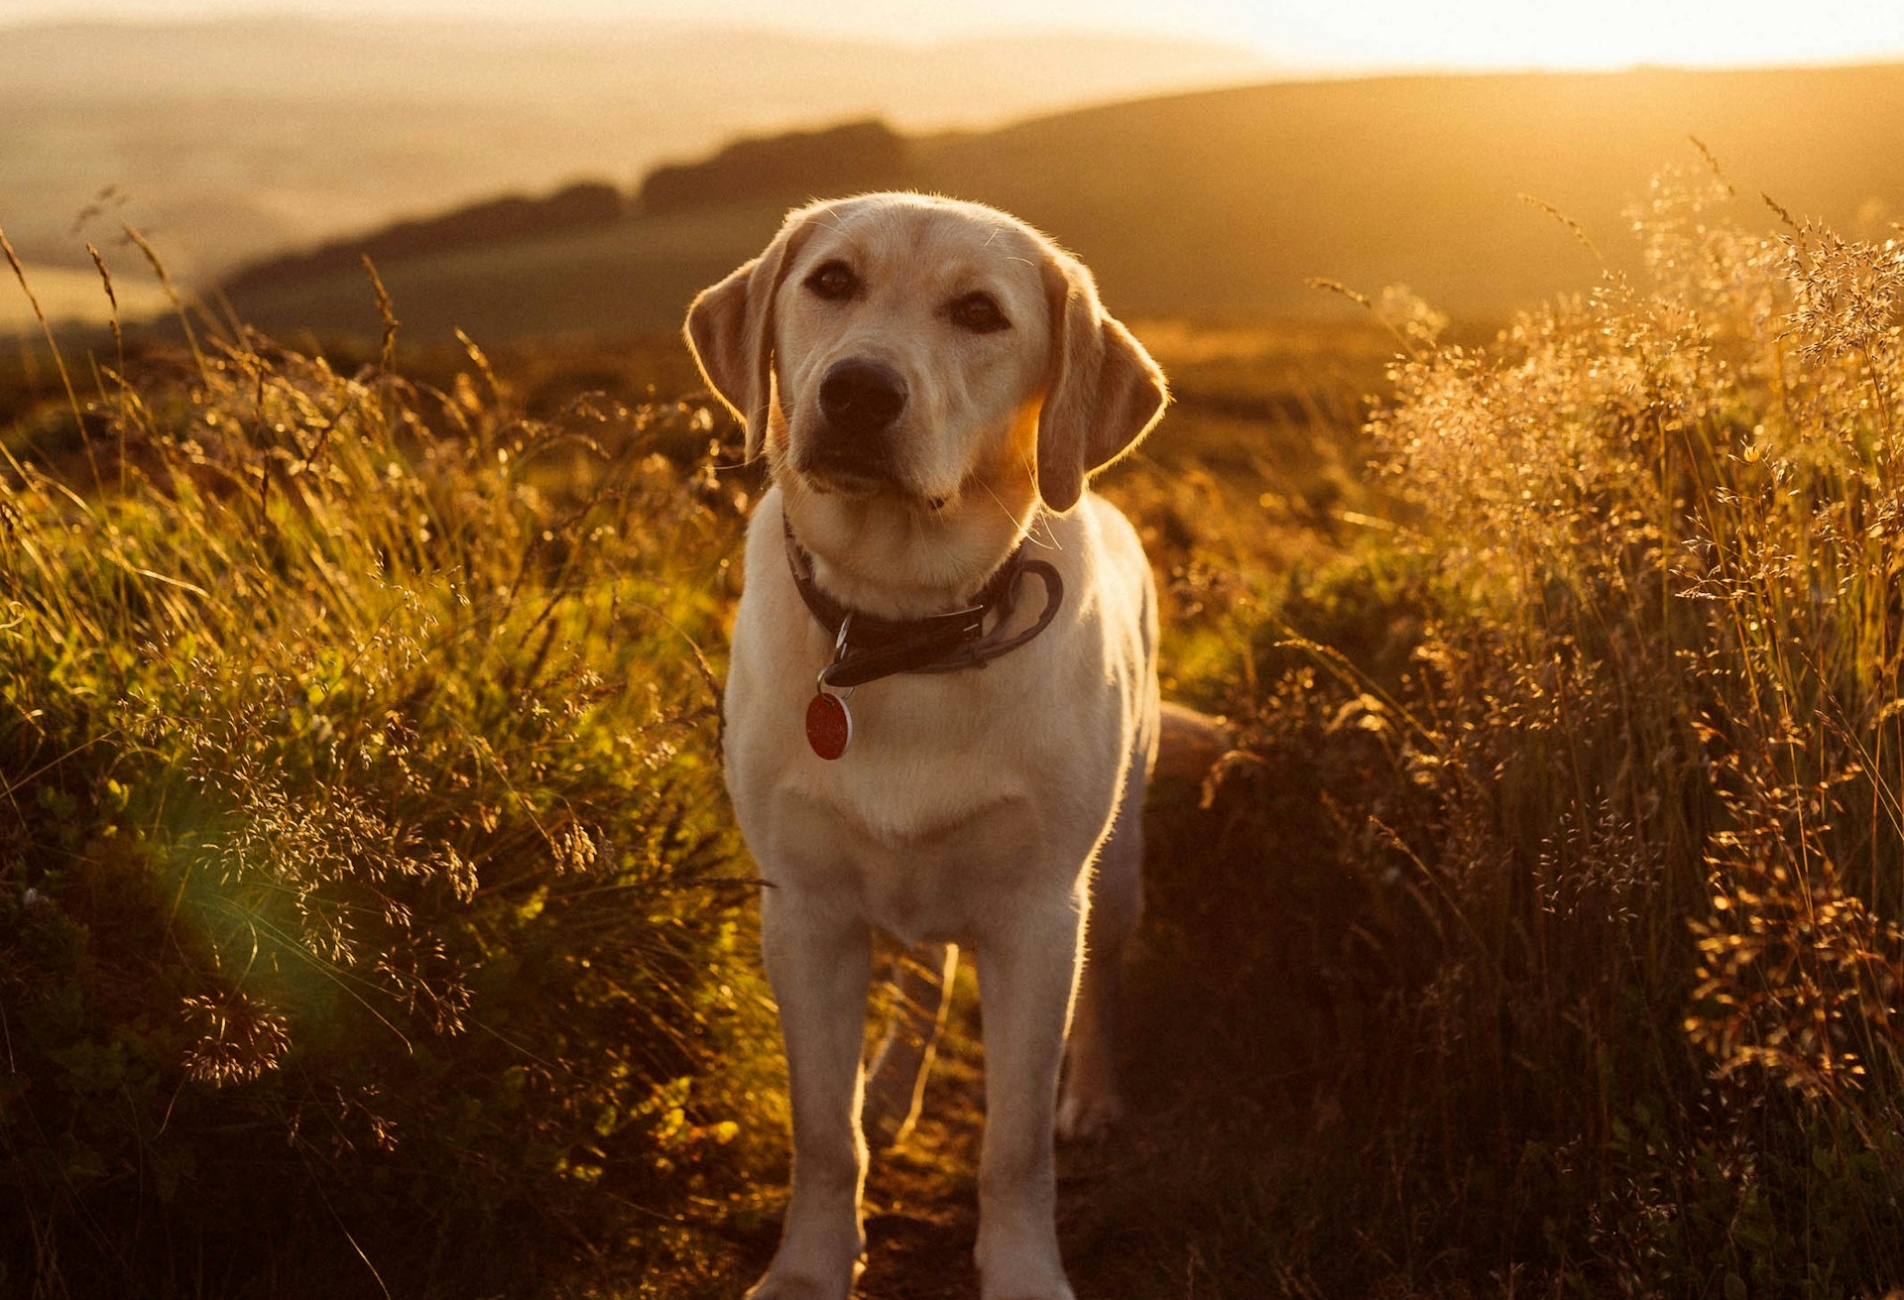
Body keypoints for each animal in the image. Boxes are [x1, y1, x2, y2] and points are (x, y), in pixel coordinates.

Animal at [685, 193, 1157, 1300]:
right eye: (831, 281)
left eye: (980, 312)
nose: (858, 390)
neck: (898, 626)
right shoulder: (804, 911)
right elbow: (824, 1134)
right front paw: (809, 1269)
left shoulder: (1037, 916)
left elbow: (1013, 1146)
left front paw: (1024, 1271)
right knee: (923, 979)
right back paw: (894, 1087)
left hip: (1113, 870)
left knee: (1104, 990)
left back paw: (1094, 1098)